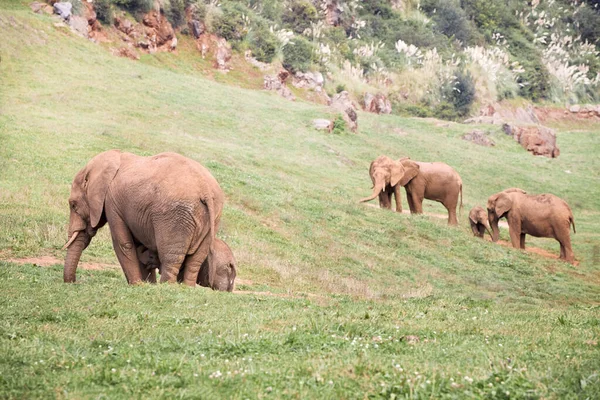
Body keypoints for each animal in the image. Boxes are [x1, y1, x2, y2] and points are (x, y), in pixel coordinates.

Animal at [62, 149, 225, 284]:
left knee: (171, 258)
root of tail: (205, 190)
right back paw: (186, 287)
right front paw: (146, 284)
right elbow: (141, 248)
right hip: (213, 218)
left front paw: (137, 285)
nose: (73, 282)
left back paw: (166, 286)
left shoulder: (112, 204)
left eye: (73, 205)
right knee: (195, 260)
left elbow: (123, 244)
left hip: (176, 218)